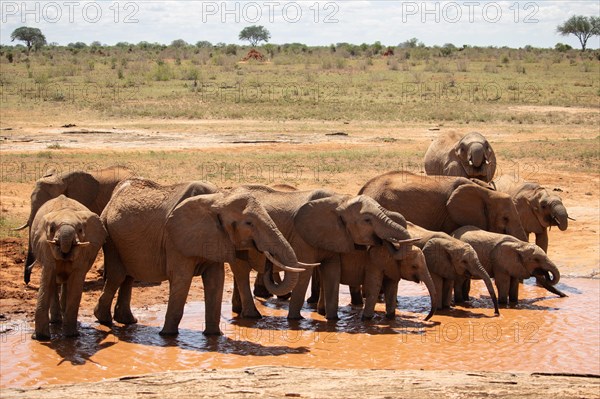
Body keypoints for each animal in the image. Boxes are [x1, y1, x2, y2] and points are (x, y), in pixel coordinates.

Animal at [30, 195, 106, 340]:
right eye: (52, 229)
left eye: (80, 230)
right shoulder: (45, 245)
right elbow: (47, 278)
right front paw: (41, 338)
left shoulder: (84, 251)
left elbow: (76, 282)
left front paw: (71, 336)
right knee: (54, 283)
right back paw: (55, 321)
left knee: (66, 282)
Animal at [98, 180, 304, 336]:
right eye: (249, 223)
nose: (267, 256)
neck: (219, 199)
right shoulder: (175, 239)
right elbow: (182, 279)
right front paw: (168, 336)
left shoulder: (216, 238)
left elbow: (216, 280)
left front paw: (214, 336)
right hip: (110, 237)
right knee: (117, 276)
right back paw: (104, 320)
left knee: (128, 276)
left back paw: (127, 321)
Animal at [227, 185, 420, 322]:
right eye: (367, 220)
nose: (385, 241)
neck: (340, 200)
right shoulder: (301, 237)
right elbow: (304, 272)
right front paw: (295, 320)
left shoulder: (333, 236)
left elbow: (332, 271)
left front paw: (333, 320)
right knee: (241, 271)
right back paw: (252, 316)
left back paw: (238, 311)